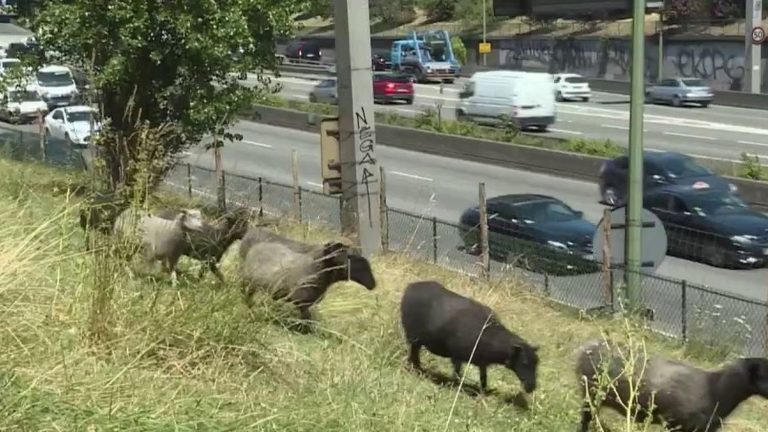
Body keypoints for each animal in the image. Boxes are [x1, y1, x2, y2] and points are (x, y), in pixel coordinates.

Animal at [402, 280, 540, 394]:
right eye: (524, 362)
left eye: (536, 363)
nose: (532, 387)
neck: (492, 337)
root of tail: (410, 286)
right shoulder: (457, 355)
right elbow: (457, 373)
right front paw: (456, 386)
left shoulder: (482, 362)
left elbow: (483, 378)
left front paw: (484, 392)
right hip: (413, 336)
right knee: (413, 353)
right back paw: (416, 369)